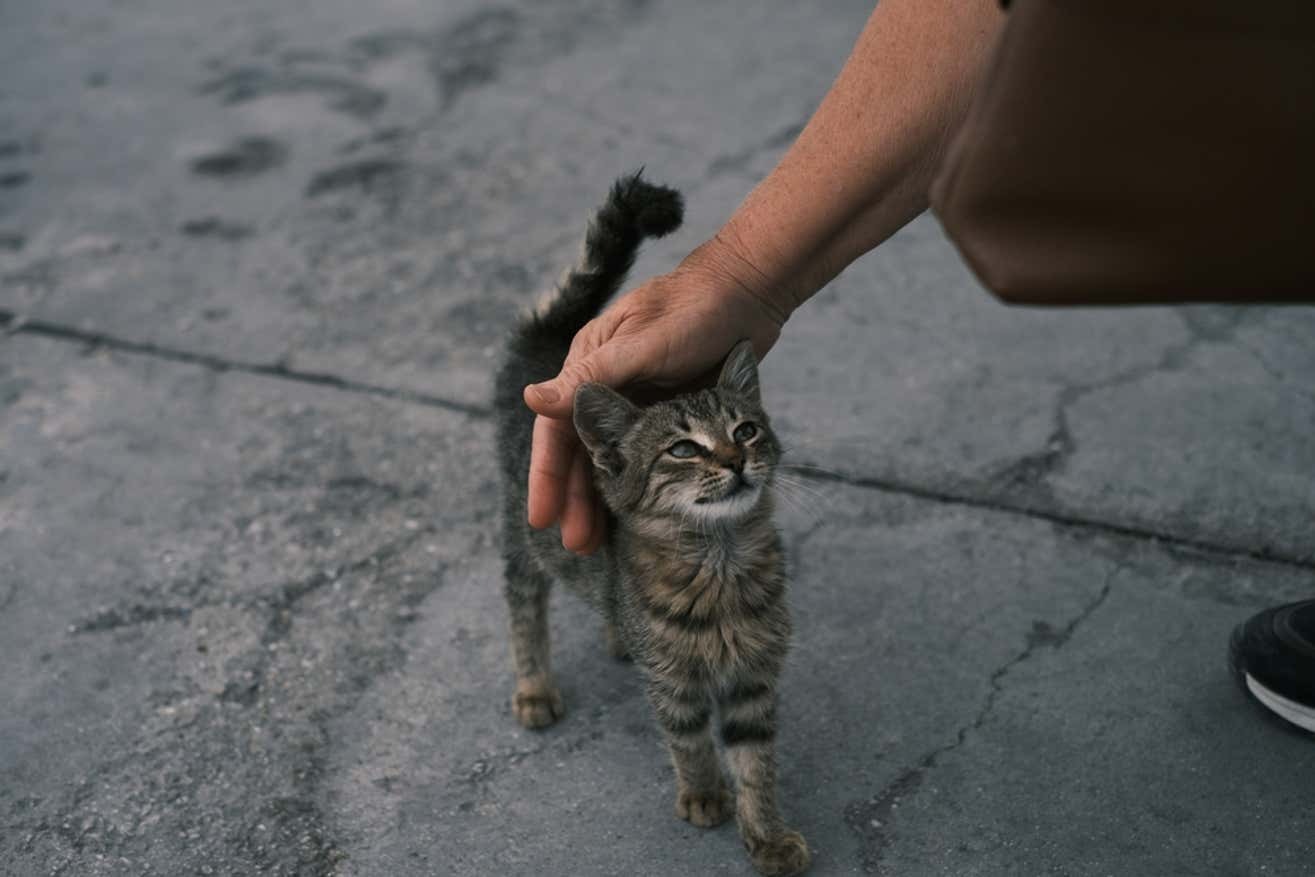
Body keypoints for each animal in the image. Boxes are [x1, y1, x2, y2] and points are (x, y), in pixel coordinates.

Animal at [491, 173, 804, 877]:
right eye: (683, 449)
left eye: (746, 430)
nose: (735, 460)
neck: (719, 562)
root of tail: (551, 348)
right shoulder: (673, 682)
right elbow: (688, 739)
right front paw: (704, 794)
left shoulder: (754, 678)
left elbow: (758, 760)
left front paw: (766, 834)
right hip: (524, 530)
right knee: (523, 602)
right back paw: (534, 686)